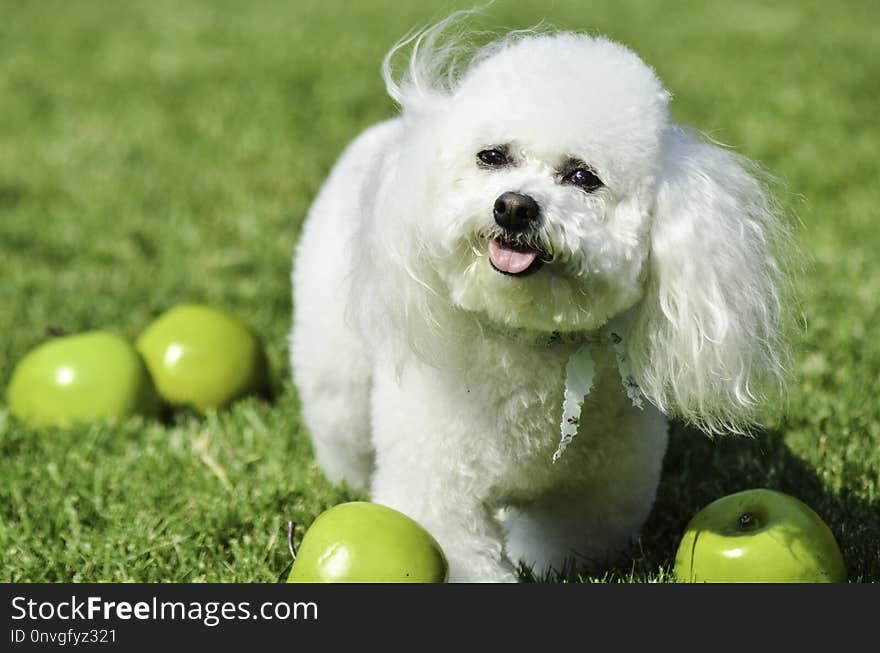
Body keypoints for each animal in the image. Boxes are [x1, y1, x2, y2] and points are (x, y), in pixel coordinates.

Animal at [288, 14, 792, 580]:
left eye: (583, 176)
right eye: (492, 157)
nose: (513, 206)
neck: (529, 341)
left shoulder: (595, 496)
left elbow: (566, 543)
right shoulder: (440, 490)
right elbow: (463, 552)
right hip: (338, 367)